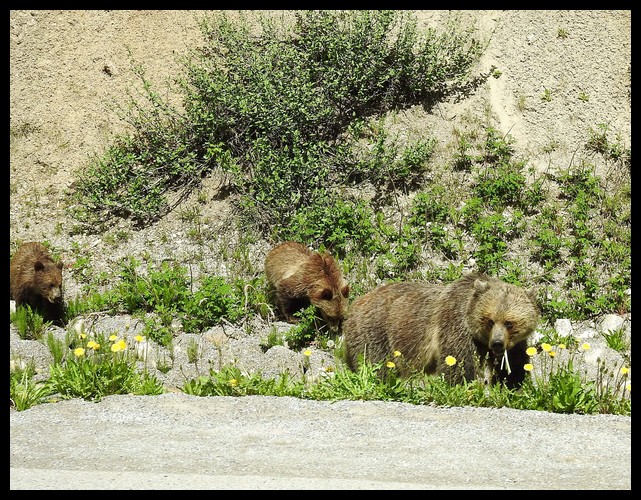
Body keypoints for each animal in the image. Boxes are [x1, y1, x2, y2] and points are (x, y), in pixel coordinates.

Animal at [342, 274, 536, 386]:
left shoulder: (514, 345)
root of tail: (354, 304)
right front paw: (463, 385)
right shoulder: (456, 326)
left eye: (509, 322)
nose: (497, 343)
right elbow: (459, 362)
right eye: (489, 320)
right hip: (375, 331)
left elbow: (514, 366)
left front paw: (513, 385)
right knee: (376, 363)